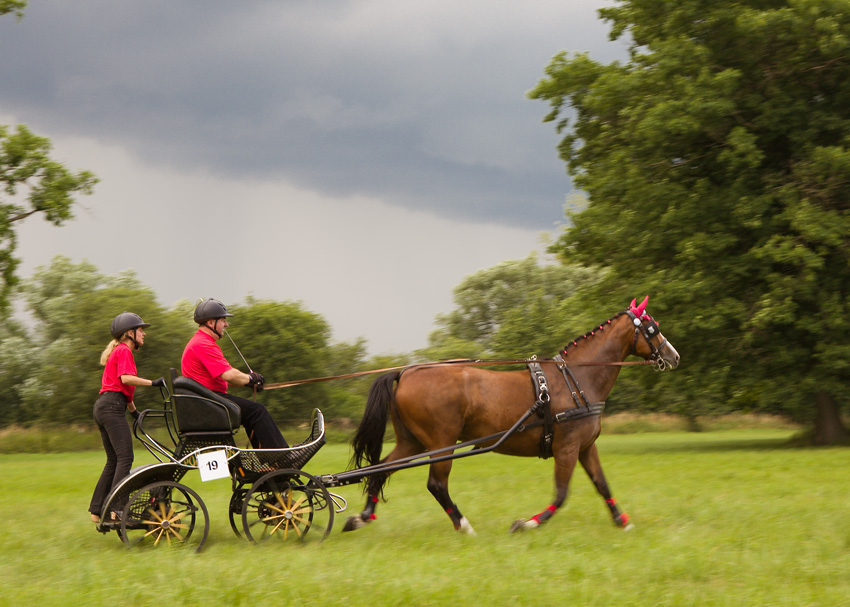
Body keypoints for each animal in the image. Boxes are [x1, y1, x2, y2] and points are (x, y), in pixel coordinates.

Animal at [342, 296, 680, 536]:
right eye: (652, 328)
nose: (674, 356)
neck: (577, 379)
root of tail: (405, 373)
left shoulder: (585, 447)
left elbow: (602, 484)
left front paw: (622, 521)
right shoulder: (567, 448)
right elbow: (561, 494)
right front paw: (525, 524)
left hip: (413, 441)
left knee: (381, 469)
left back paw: (362, 517)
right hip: (441, 442)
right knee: (436, 484)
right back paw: (464, 525)